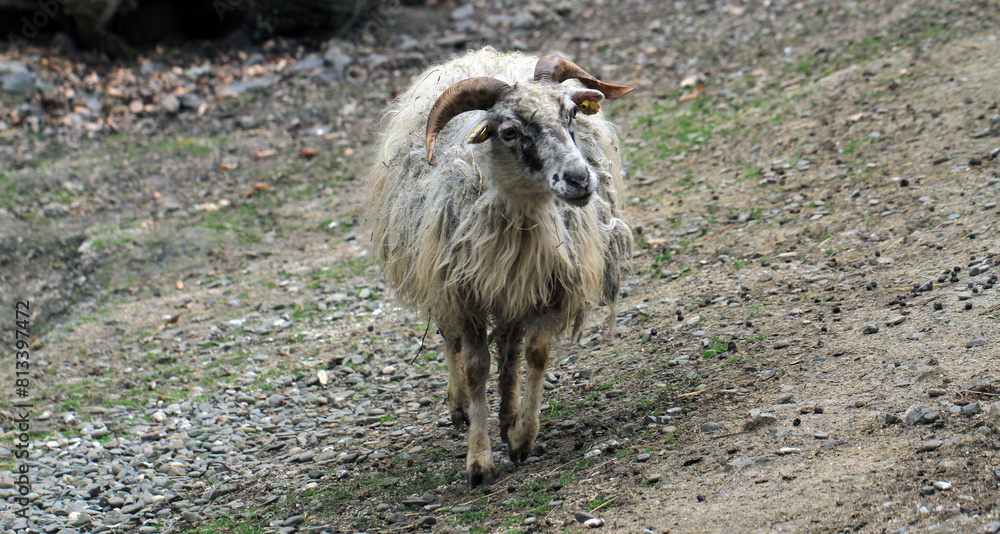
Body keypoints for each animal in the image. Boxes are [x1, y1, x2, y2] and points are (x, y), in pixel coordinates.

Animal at [366, 47, 633, 487]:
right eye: (508, 131)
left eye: (570, 114)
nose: (579, 179)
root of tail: (481, 55)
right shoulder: (463, 293)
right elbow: (476, 368)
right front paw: (478, 460)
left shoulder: (547, 286)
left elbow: (535, 354)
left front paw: (523, 436)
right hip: (440, 279)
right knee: (450, 340)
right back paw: (459, 405)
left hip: (510, 294)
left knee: (509, 349)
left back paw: (507, 416)